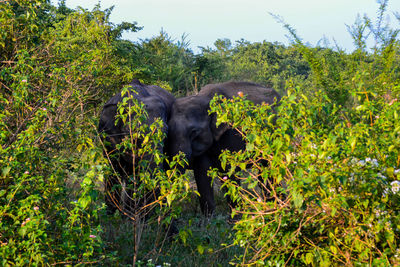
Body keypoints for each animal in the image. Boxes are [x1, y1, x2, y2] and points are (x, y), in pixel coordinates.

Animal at [166, 81, 282, 216]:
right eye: (169, 132)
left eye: (194, 132)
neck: (205, 99)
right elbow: (203, 174)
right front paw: (210, 218)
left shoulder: (233, 132)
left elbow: (230, 171)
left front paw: (236, 217)